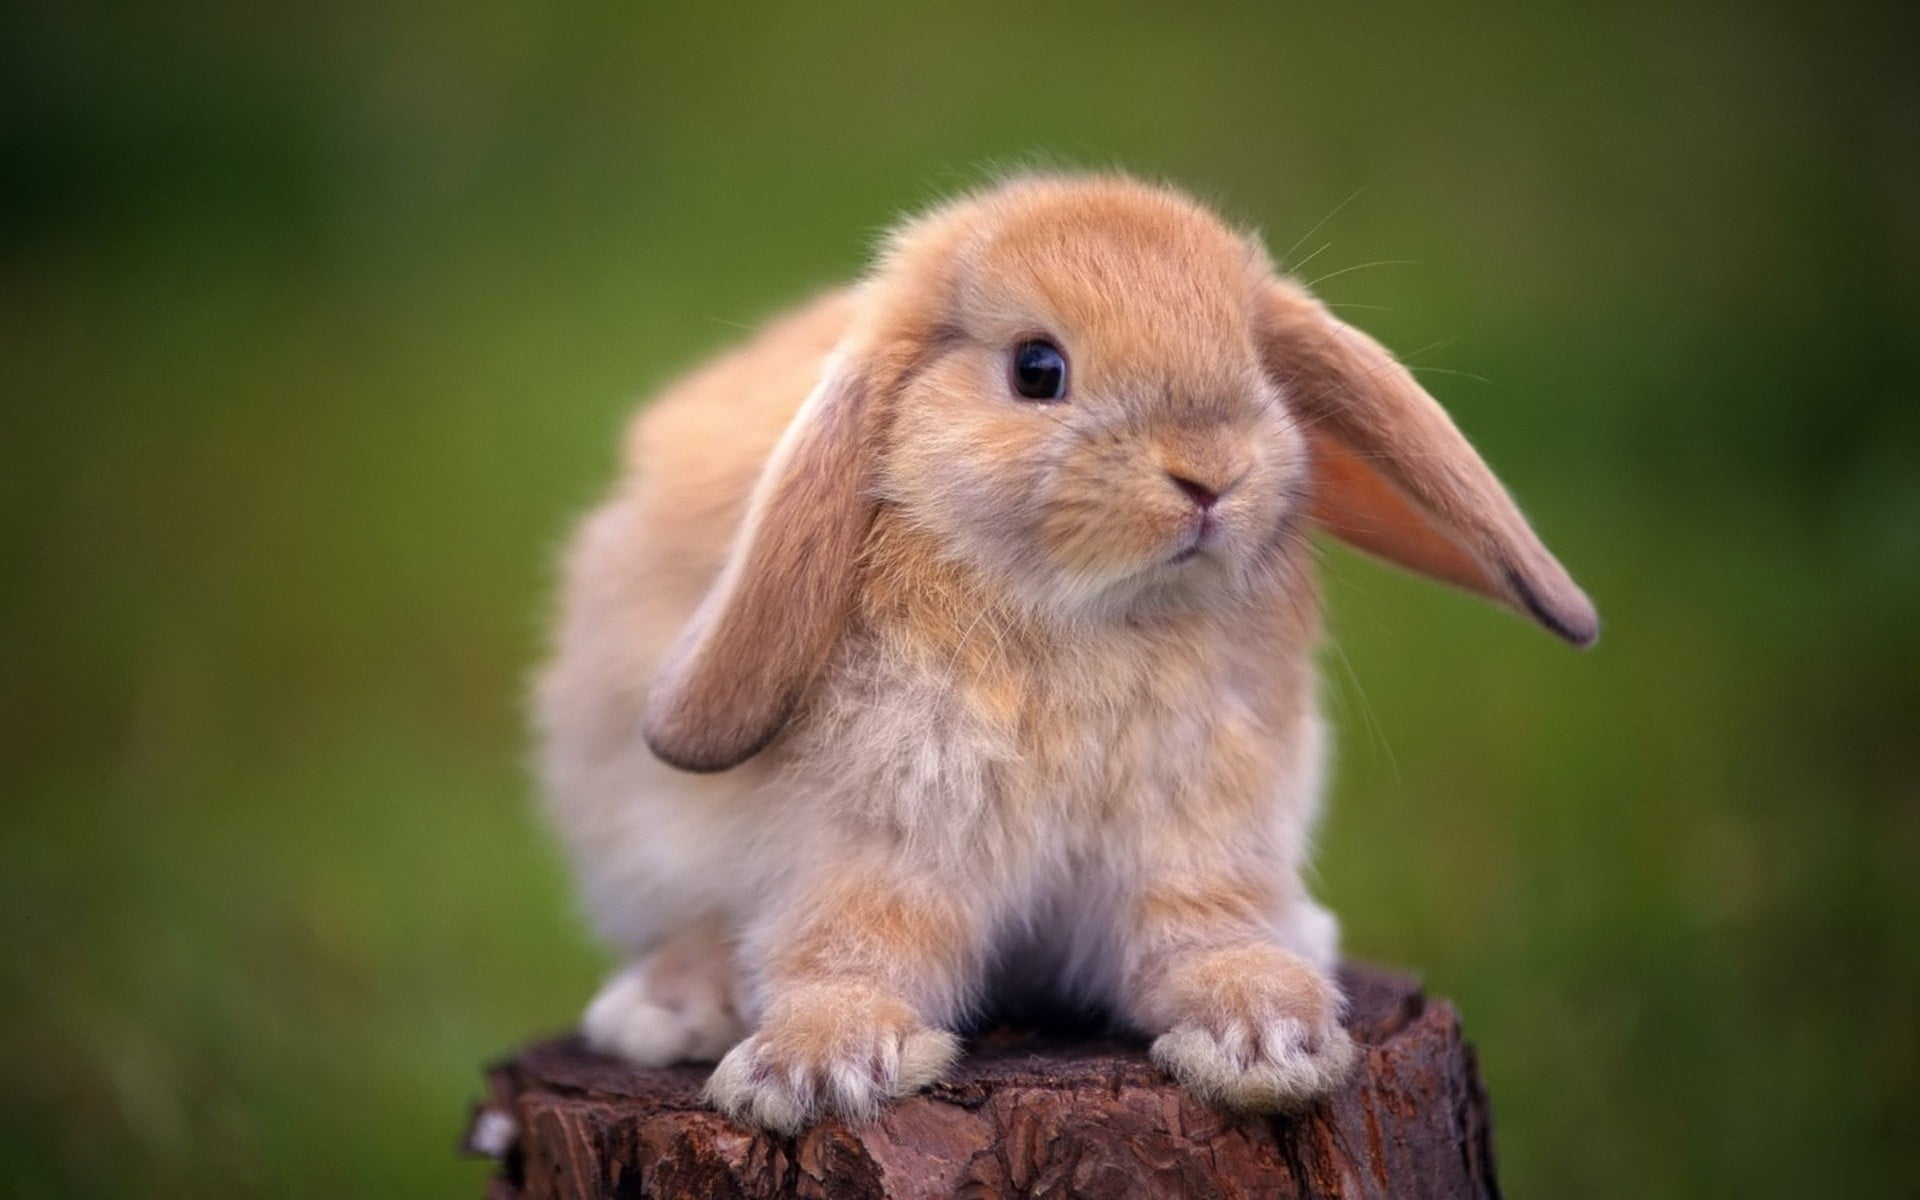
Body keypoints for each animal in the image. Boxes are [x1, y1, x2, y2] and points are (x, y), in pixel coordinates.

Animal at [533, 170, 1597, 1128]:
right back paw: (668, 1009)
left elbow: (1199, 938)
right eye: (1037, 369)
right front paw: (808, 1072)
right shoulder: (880, 842)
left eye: (1255, 362)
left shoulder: (1196, 836)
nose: (1212, 474)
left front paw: (1269, 1038)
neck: (1094, 616)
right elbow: (852, 949)